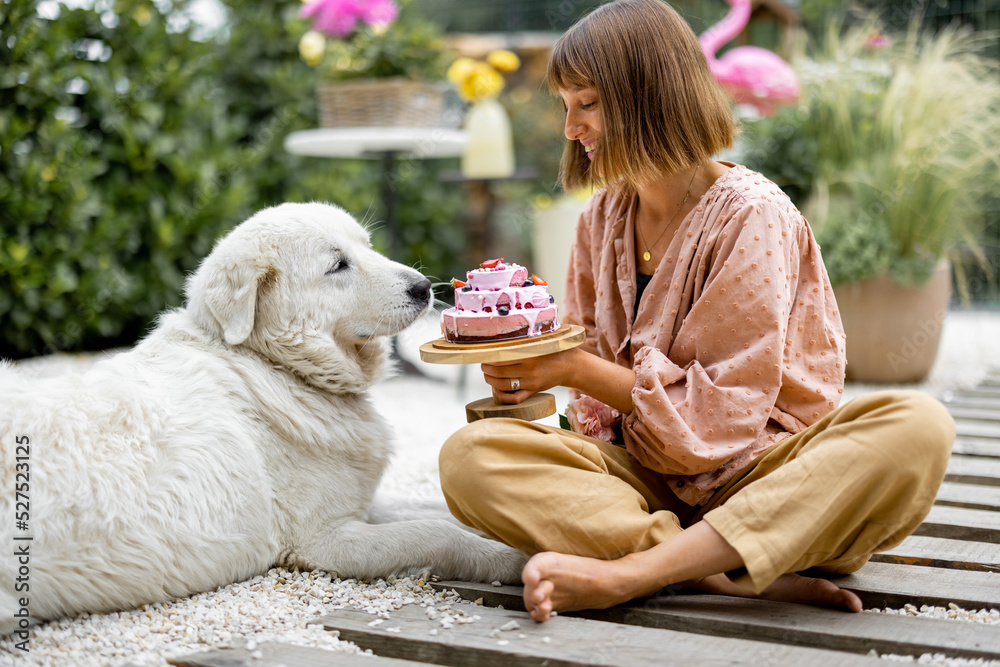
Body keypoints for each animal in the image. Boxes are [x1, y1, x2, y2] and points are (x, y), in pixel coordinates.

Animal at [0, 204, 528, 636]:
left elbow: (437, 510)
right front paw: (514, 559)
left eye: (367, 245)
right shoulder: (327, 542)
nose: (422, 288)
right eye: (338, 265)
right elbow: (438, 534)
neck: (273, 365)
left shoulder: (360, 503)